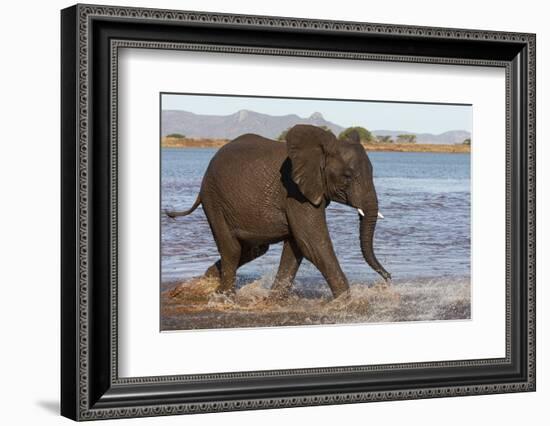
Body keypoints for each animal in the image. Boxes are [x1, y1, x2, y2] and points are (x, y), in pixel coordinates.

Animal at [166, 124, 390, 300]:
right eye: (348, 176)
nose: (388, 279)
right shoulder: (294, 191)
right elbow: (312, 243)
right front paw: (347, 302)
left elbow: (297, 245)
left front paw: (274, 300)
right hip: (214, 199)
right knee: (232, 249)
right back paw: (224, 296)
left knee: (253, 249)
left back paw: (204, 281)